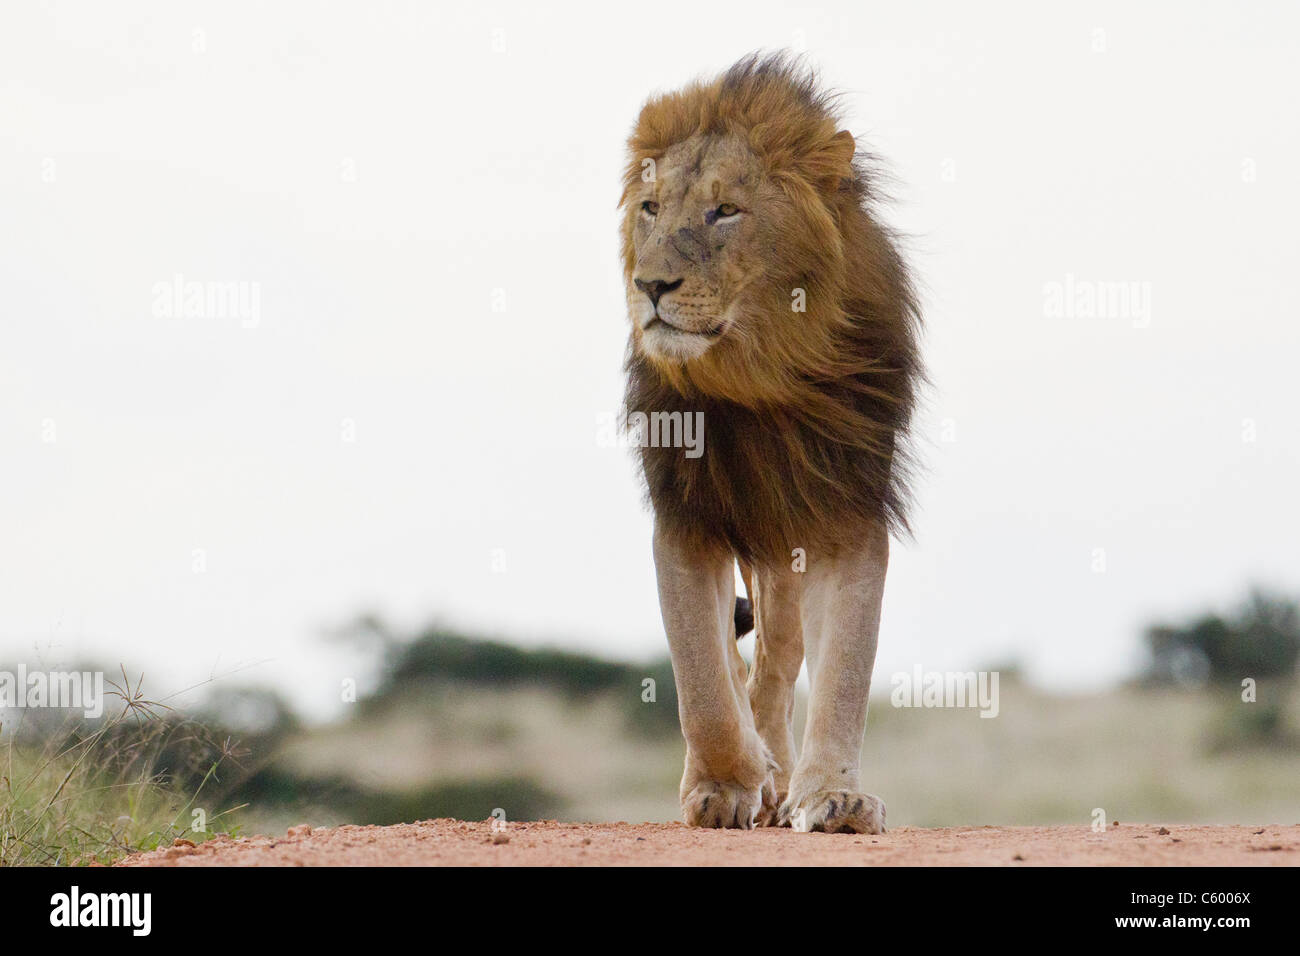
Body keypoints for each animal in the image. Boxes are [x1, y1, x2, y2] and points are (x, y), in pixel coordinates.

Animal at [624, 52, 920, 832]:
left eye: (725, 211)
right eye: (650, 208)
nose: (650, 284)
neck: (761, 375)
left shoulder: (847, 511)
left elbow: (844, 667)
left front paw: (833, 796)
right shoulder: (685, 515)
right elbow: (700, 673)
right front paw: (724, 786)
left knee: (778, 666)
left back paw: (782, 779)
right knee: (733, 665)